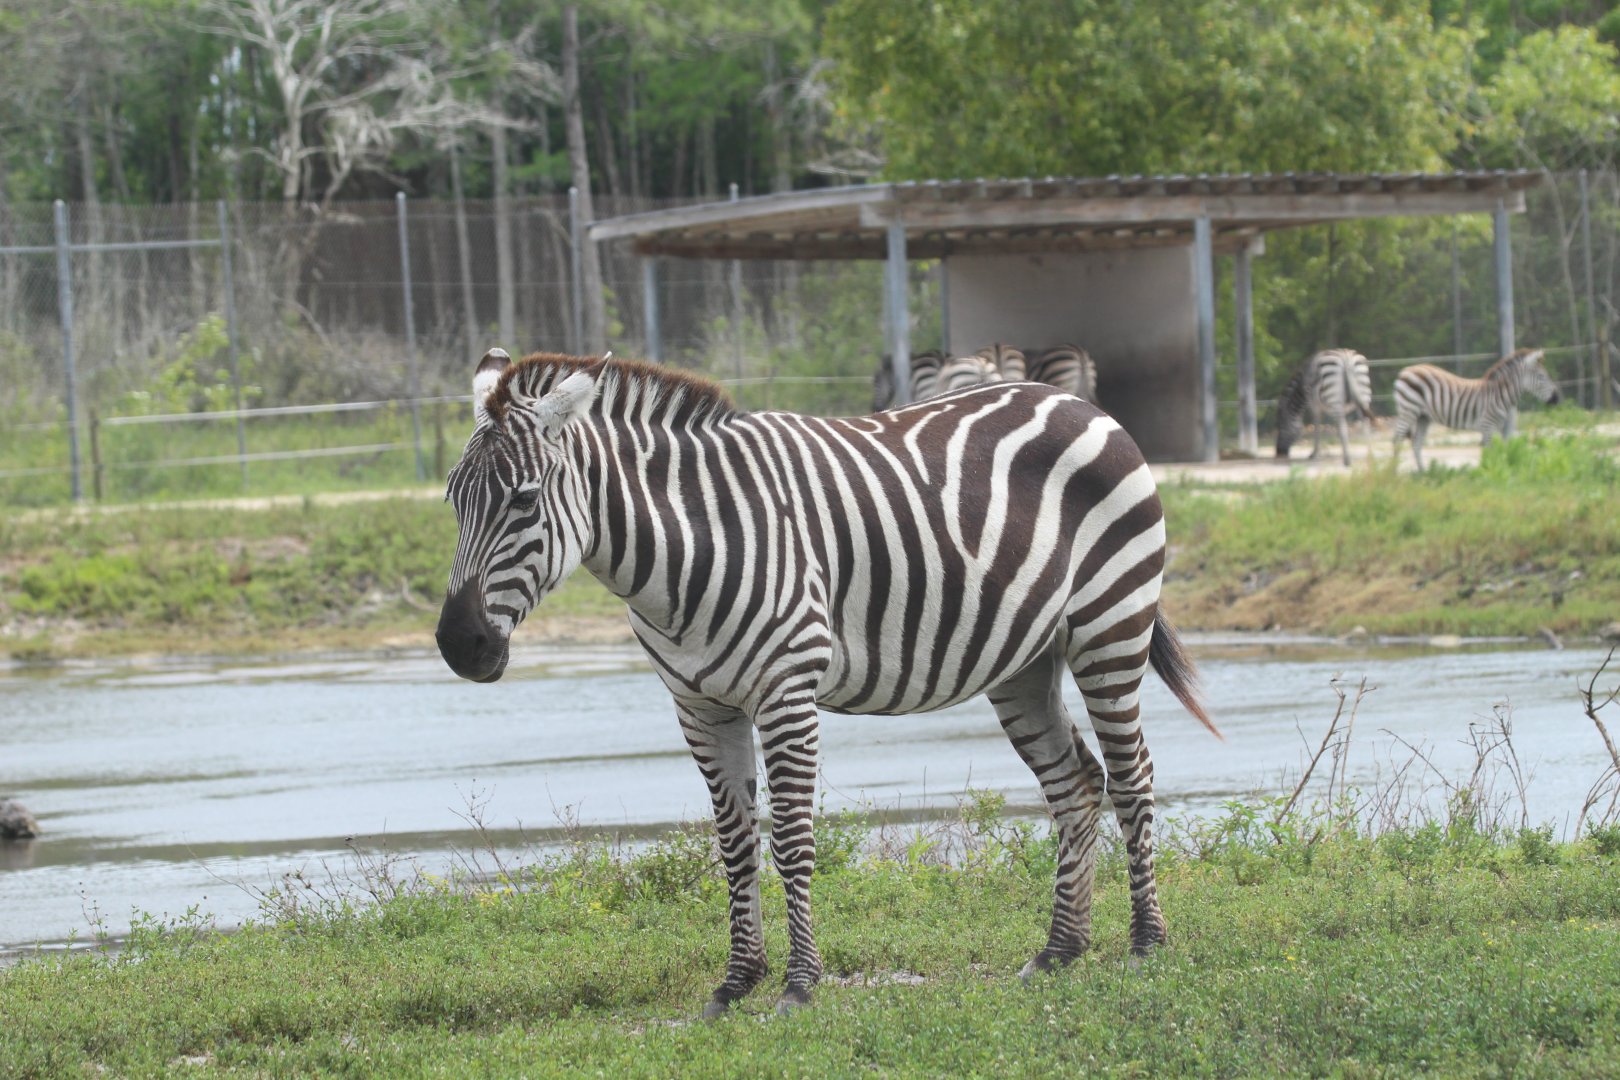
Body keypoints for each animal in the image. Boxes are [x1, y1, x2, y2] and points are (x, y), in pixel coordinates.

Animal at [437, 348, 1216, 1018]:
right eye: (452, 501)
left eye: (525, 500)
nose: (457, 645)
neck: (688, 544)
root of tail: (1078, 403)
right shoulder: (700, 705)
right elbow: (734, 844)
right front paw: (735, 984)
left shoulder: (786, 692)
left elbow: (791, 840)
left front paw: (799, 985)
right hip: (1023, 660)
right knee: (1075, 782)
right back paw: (1058, 952)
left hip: (1109, 624)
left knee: (1133, 774)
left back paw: (1147, 943)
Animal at [1391, 347, 1560, 469]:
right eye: (1541, 377)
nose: (1556, 399)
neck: (1498, 395)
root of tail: (1405, 370)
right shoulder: (1488, 425)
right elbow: (1490, 450)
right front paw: (1490, 473)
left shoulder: (1495, 427)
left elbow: (1495, 450)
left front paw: (1493, 470)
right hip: (1408, 409)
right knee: (1397, 441)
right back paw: (1393, 474)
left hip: (1423, 417)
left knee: (1416, 443)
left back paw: (1423, 474)